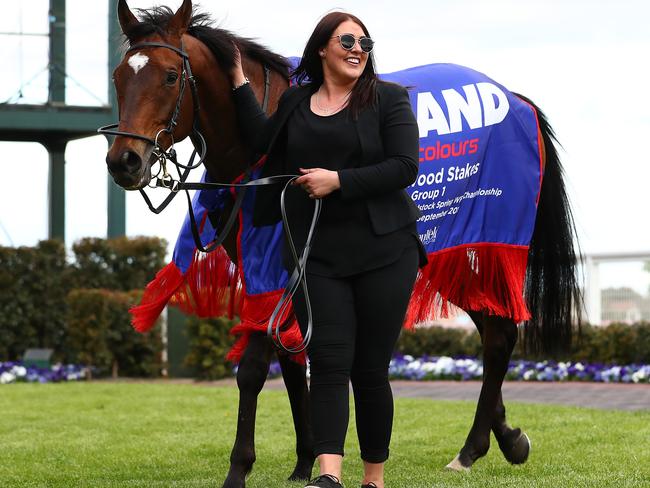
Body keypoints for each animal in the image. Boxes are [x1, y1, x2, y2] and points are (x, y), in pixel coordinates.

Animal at [104, 1, 580, 486]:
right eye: (119, 76)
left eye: (169, 76)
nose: (124, 161)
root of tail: (517, 101)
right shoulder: (290, 269)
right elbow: (294, 360)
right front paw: (305, 459)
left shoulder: (272, 268)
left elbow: (255, 370)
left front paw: (239, 468)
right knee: (494, 330)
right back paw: (501, 438)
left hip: (479, 241)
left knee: (499, 333)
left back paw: (472, 448)